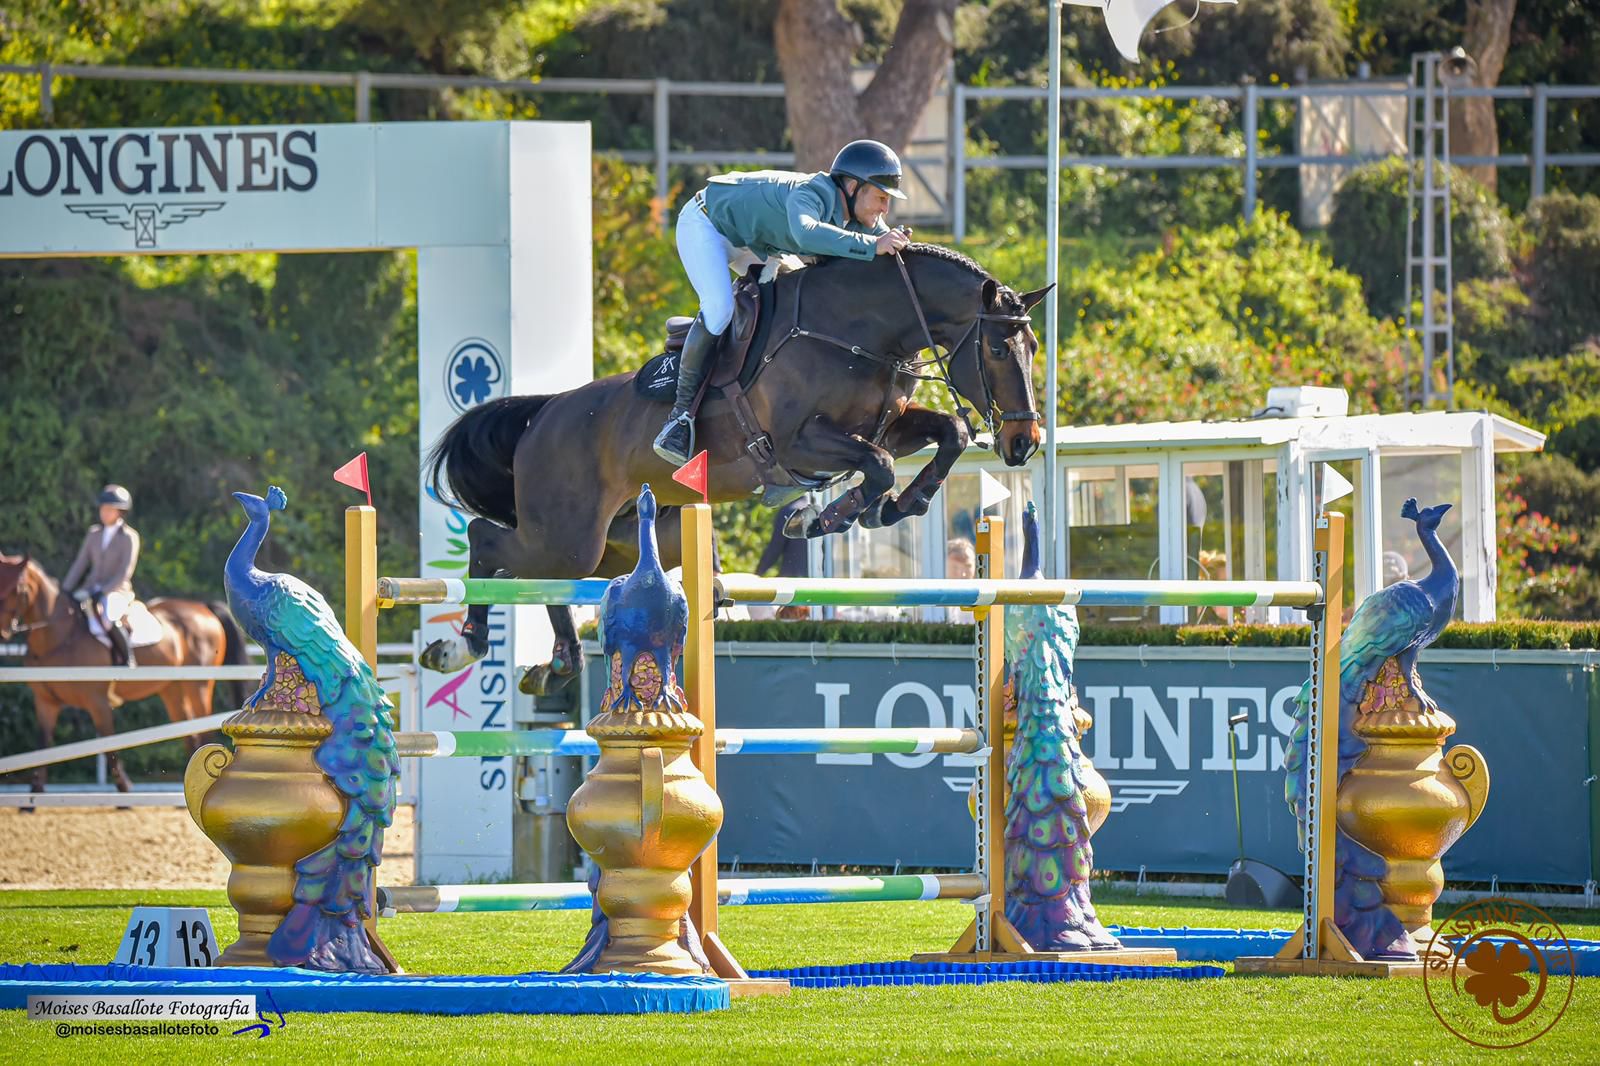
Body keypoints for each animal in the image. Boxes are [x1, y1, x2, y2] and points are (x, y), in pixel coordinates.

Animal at [0, 552, 248, 794]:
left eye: (16, 588)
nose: (3, 632)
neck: (60, 636)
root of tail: (203, 608)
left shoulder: (98, 702)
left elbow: (108, 745)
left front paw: (125, 790)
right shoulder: (45, 702)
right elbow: (42, 744)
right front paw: (34, 792)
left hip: (198, 685)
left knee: (203, 733)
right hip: (172, 690)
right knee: (189, 735)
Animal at [419, 244, 1051, 688]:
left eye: (1034, 348)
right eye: (998, 349)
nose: (1025, 443)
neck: (856, 329)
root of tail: (544, 414)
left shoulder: (885, 426)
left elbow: (948, 433)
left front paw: (898, 507)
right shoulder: (797, 442)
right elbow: (876, 466)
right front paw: (830, 516)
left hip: (621, 541)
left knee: (545, 576)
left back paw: (559, 663)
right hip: (569, 533)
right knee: (491, 542)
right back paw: (462, 646)